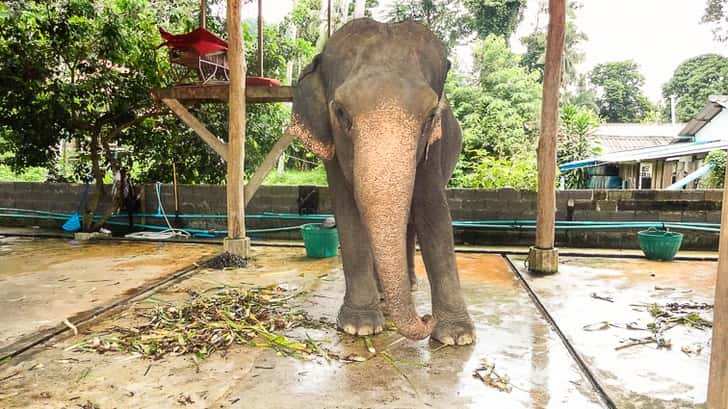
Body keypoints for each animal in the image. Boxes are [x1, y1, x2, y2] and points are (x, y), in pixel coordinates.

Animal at [288, 18, 474, 344]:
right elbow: (348, 210)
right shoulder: (332, 145)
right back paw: (384, 295)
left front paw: (457, 336)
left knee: (411, 222)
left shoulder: (433, 147)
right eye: (341, 112)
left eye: (430, 116)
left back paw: (409, 286)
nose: (426, 319)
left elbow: (433, 211)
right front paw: (359, 326)